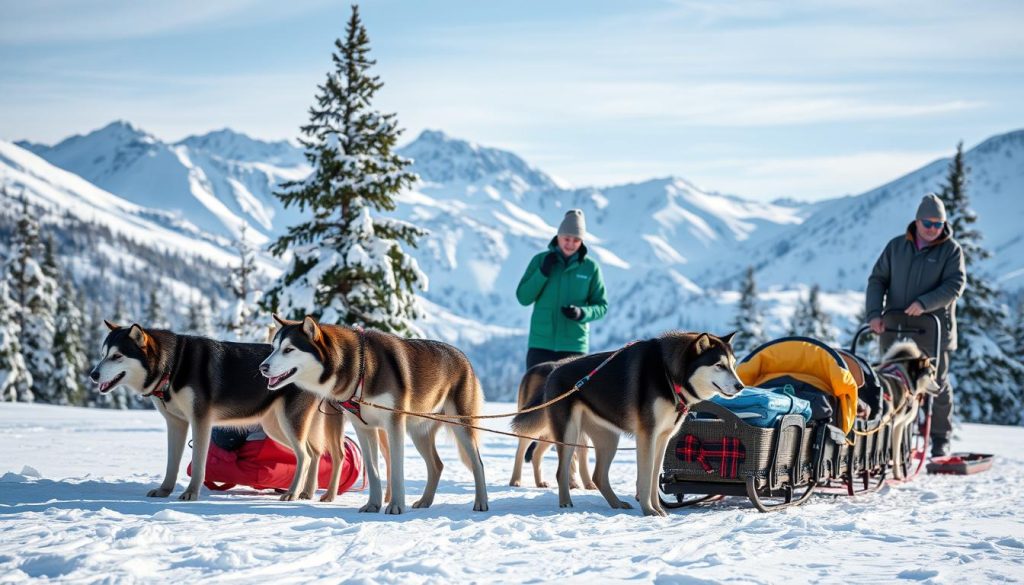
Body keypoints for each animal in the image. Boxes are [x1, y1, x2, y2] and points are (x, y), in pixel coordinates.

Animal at [89, 323, 344, 502]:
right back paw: (306, 492)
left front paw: (191, 493)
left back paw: (292, 492)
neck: (173, 365)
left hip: (288, 423)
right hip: (277, 426)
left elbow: (198, 464)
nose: (93, 374)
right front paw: (164, 490)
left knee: (306, 456)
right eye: (102, 354)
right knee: (316, 454)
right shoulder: (176, 424)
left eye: (117, 356)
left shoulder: (200, 421)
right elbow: (172, 463)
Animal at [262, 317, 489, 514]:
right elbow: (372, 470)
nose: (262, 366)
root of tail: (463, 357)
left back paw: (481, 502)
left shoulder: (394, 425)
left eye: (289, 349)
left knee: (478, 463)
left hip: (461, 425)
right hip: (418, 433)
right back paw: (425, 500)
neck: (362, 369)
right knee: (436, 466)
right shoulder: (364, 428)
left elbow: (395, 470)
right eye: (273, 348)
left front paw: (395, 506)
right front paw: (373, 505)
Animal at [507, 358, 598, 491]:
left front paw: (587, 484)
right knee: (521, 451)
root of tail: (535, 369)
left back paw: (541, 482)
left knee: (536, 454)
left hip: (551, 433)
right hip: (535, 427)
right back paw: (515, 480)